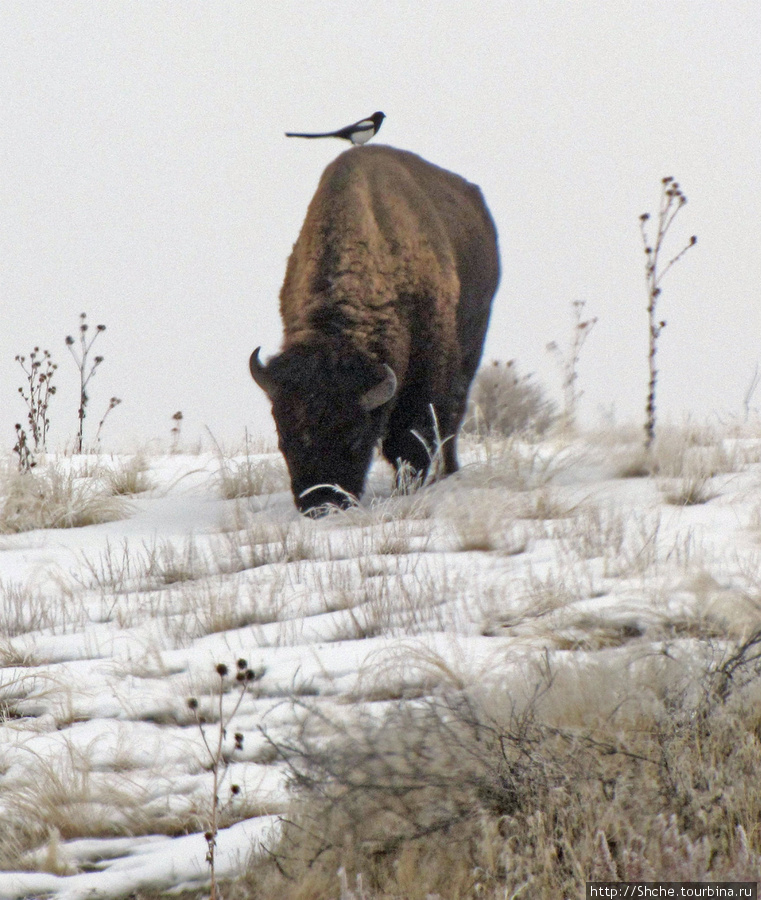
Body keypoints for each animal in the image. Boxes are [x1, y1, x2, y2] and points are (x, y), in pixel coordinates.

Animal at [249, 146, 498, 512]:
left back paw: (449, 471)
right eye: (284, 435)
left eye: (354, 438)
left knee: (453, 414)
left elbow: (414, 434)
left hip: (472, 345)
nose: (320, 505)